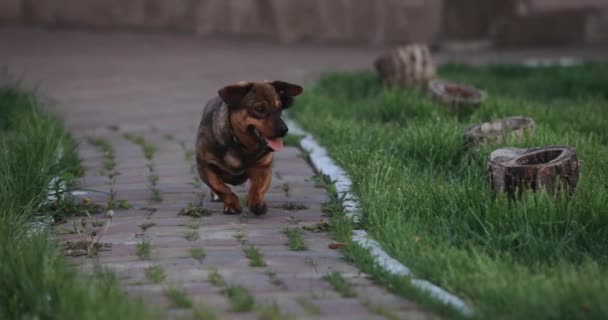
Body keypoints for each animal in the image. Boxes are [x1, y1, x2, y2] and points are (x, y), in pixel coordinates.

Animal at [196, 80, 302, 215]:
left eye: (279, 109)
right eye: (260, 109)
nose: (284, 130)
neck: (241, 144)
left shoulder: (263, 168)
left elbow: (257, 188)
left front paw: (257, 202)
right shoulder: (205, 167)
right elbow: (221, 187)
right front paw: (232, 204)